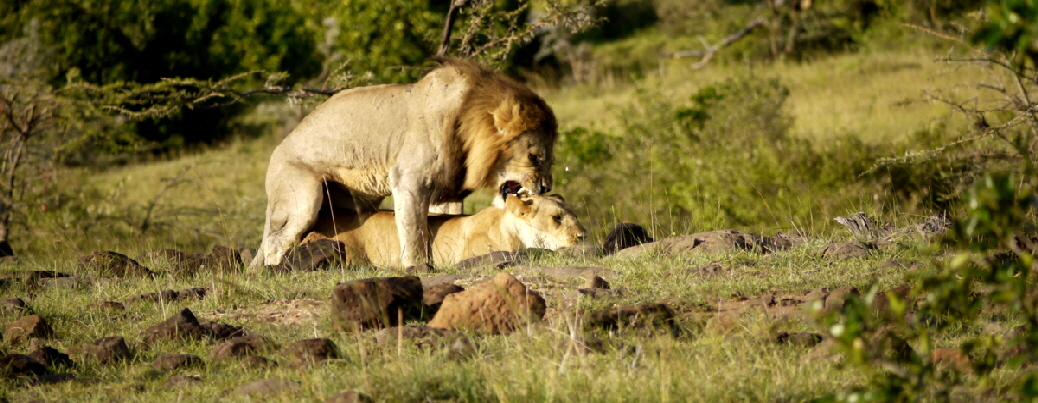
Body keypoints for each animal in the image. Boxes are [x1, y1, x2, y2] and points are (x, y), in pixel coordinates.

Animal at [252, 58, 556, 267]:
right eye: (534, 156)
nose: (545, 188)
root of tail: (277, 150)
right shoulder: (408, 180)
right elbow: (413, 230)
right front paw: (418, 266)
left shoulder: (448, 190)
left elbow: (443, 222)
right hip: (303, 196)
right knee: (275, 243)